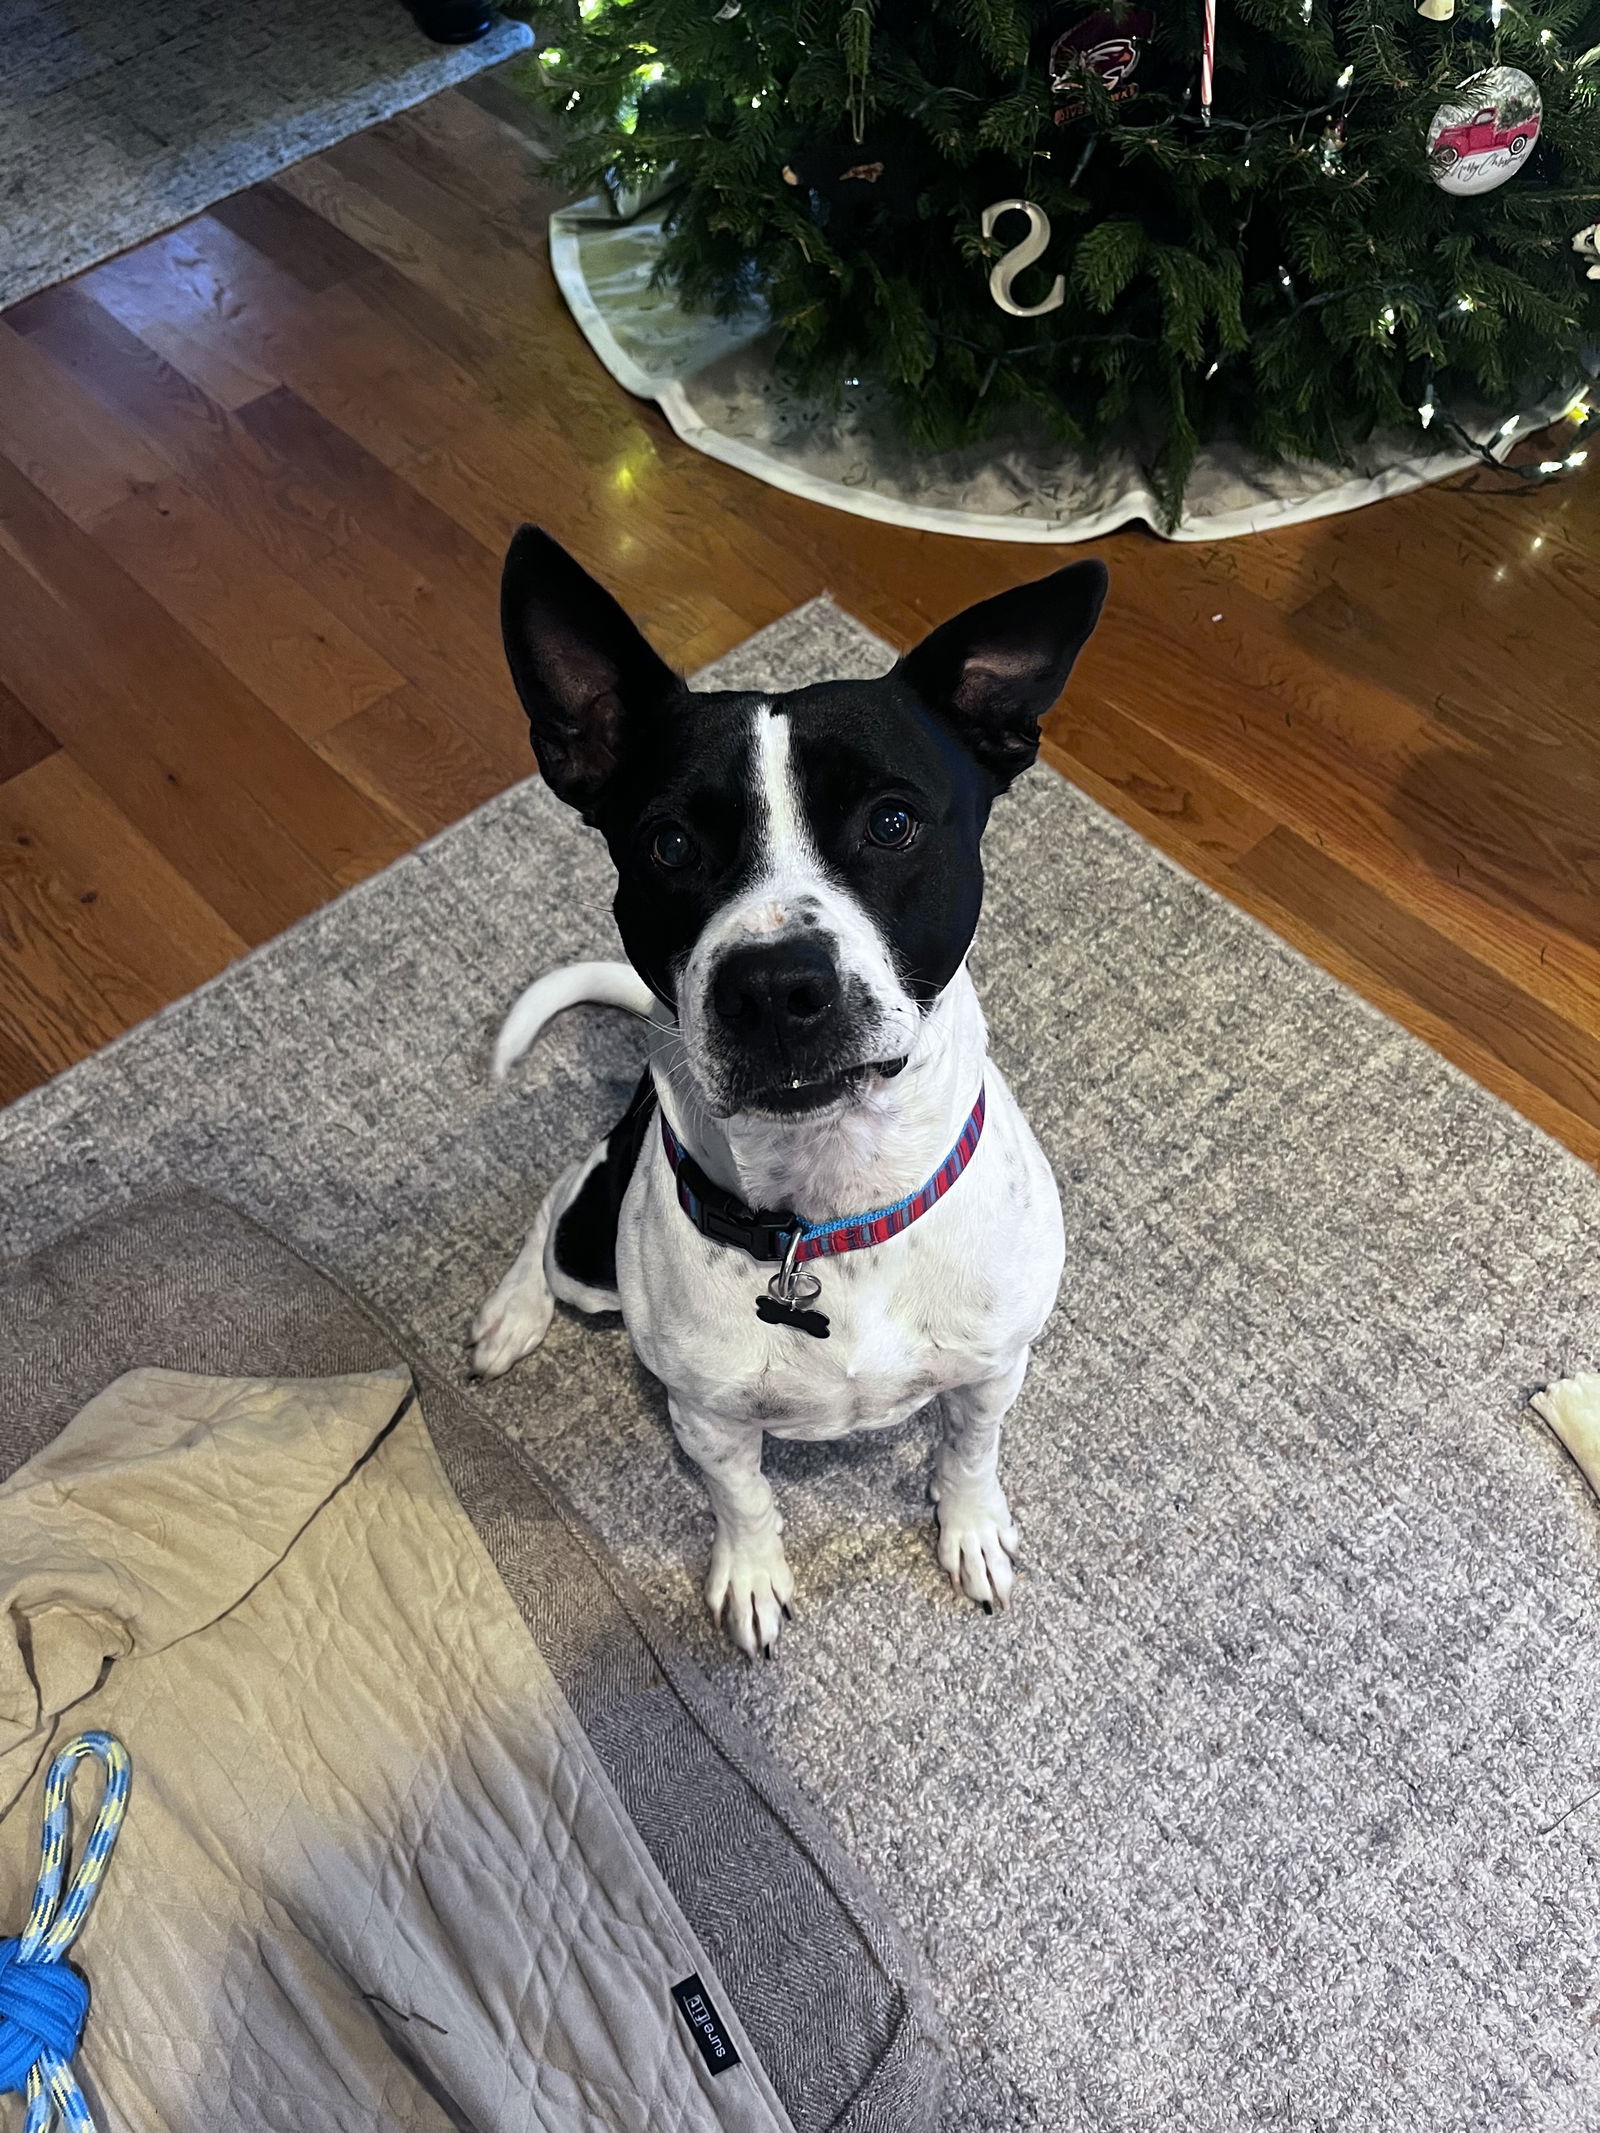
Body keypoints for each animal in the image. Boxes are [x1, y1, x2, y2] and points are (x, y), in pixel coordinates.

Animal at [469, 528, 1109, 1646]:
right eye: (669, 843)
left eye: (892, 822)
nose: (773, 987)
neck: (831, 1209)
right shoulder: (708, 1419)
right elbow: (743, 1498)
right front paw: (753, 1574)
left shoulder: (994, 1368)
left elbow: (969, 1451)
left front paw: (970, 1527)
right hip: (590, 1248)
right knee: (557, 1199)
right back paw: (511, 1314)